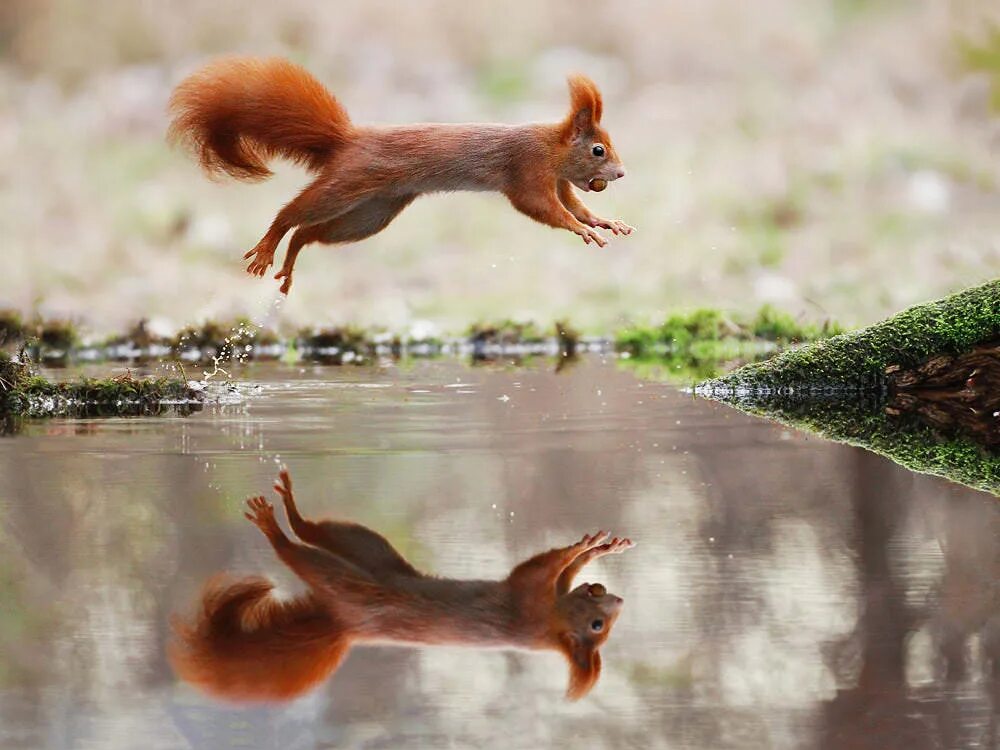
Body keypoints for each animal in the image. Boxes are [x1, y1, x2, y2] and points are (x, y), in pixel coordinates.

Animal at [167, 55, 628, 296]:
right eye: (598, 149)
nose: (621, 173)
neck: (552, 148)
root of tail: (347, 140)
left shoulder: (560, 181)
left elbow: (573, 204)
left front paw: (603, 221)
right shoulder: (527, 170)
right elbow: (544, 209)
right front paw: (580, 229)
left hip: (371, 214)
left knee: (308, 233)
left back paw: (290, 263)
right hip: (346, 185)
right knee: (292, 214)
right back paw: (267, 248)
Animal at [168, 472, 628, 704]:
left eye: (597, 627)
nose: (618, 598)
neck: (550, 622)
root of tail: (344, 624)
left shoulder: (527, 596)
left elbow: (543, 565)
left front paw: (585, 547)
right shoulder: (539, 593)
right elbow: (561, 567)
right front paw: (596, 547)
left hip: (346, 581)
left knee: (297, 549)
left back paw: (275, 527)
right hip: (367, 546)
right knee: (316, 529)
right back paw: (291, 507)